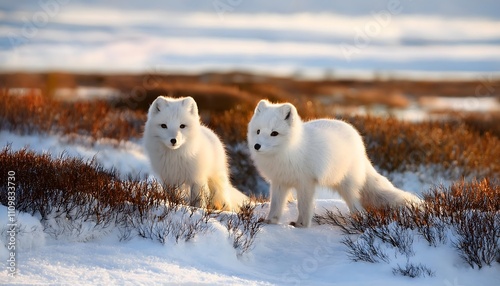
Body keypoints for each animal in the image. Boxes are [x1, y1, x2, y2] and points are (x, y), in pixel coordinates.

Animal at [248, 100, 420, 228]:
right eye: (258, 131)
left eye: (274, 133)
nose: (257, 146)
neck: (289, 151)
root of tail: (360, 144)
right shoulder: (279, 181)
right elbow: (275, 205)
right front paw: (270, 221)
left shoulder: (306, 182)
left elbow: (304, 206)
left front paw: (301, 225)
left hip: (347, 186)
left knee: (357, 206)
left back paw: (359, 221)